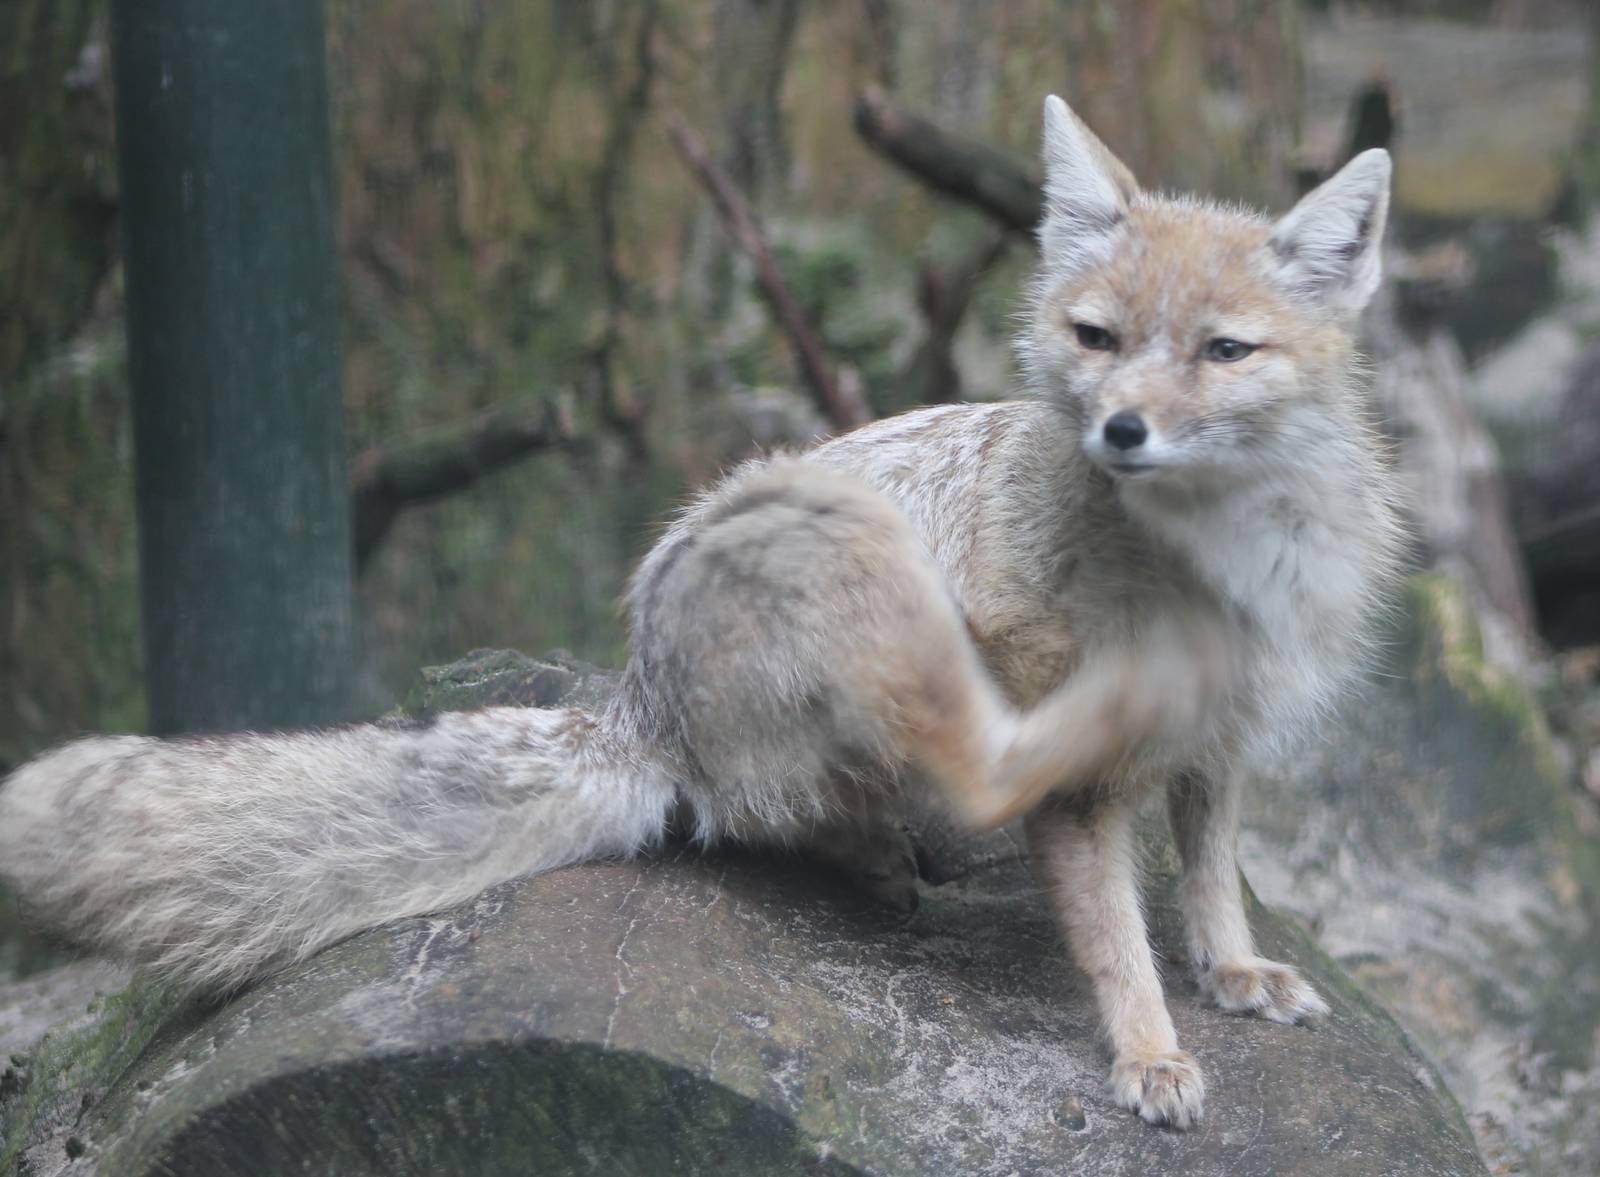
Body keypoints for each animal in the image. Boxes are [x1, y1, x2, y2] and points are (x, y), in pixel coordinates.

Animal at [0, 96, 1403, 1129]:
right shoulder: (1090, 789)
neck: (1224, 566)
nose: (1119, 430)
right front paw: (1149, 1052)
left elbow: (1209, 873)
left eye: (1222, 352)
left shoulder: (1229, 746)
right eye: (1097, 338)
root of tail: (638, 698)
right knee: (901, 781)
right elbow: (1114, 931)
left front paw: (1228, 968)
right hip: (840, 531)